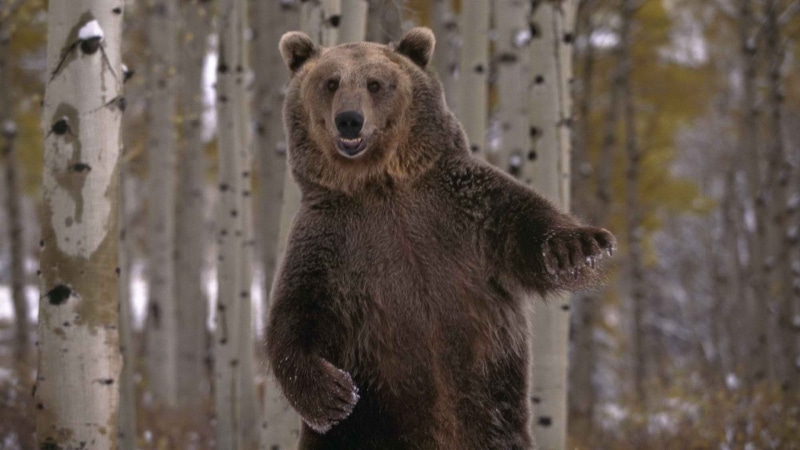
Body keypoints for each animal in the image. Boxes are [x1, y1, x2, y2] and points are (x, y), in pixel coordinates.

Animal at [266, 27, 616, 449]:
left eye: (375, 83)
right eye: (330, 82)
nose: (349, 120)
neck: (380, 185)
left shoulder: (464, 209)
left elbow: (524, 222)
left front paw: (579, 247)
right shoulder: (330, 244)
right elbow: (295, 316)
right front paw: (333, 395)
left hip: (493, 418)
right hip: (368, 430)